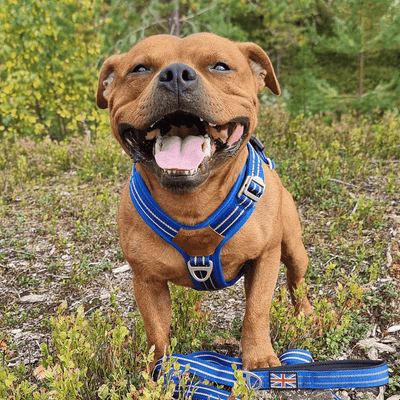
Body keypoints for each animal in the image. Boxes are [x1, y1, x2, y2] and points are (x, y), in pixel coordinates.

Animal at [96, 32, 312, 370]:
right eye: (139, 68)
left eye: (220, 66)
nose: (175, 74)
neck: (193, 204)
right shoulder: (146, 280)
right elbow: (156, 332)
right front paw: (161, 372)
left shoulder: (265, 259)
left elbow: (256, 311)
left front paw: (259, 358)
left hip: (293, 248)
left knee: (296, 281)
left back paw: (306, 315)